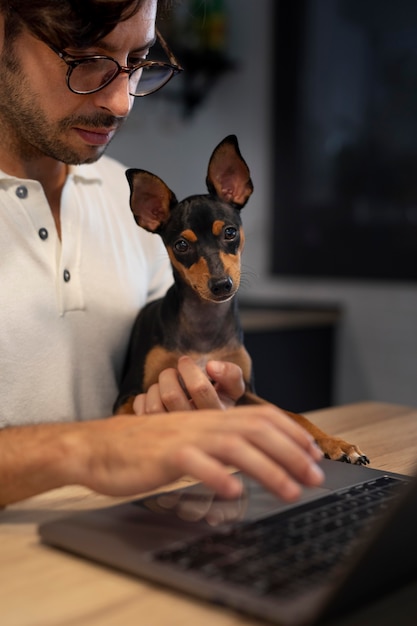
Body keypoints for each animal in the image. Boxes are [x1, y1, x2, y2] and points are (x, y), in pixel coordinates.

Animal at [114, 133, 368, 464]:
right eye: (181, 245)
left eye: (230, 232)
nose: (222, 285)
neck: (203, 323)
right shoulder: (127, 396)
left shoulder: (243, 392)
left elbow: (293, 415)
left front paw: (335, 442)